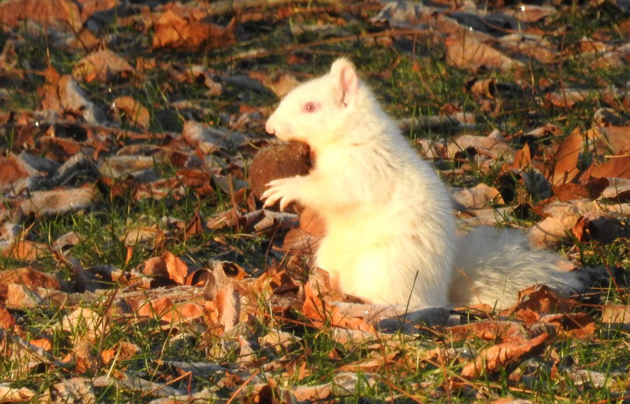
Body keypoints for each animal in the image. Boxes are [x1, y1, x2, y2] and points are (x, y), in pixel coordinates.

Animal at [262, 57, 588, 310]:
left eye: (310, 107)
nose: (269, 128)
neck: (354, 134)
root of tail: (440, 297)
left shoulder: (366, 169)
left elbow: (334, 191)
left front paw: (286, 188)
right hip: (330, 259)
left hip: (382, 266)